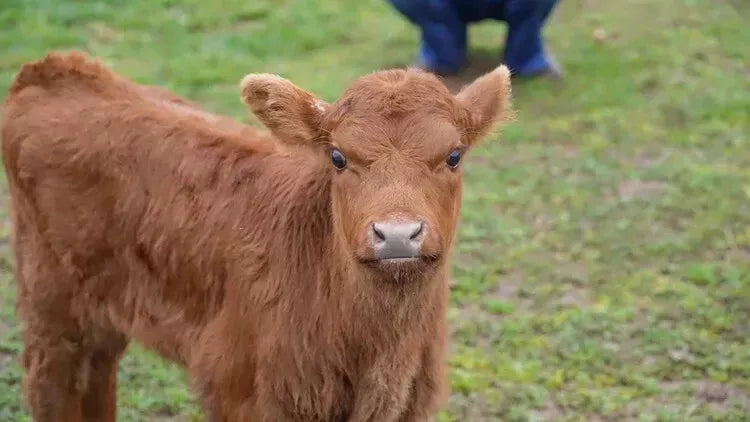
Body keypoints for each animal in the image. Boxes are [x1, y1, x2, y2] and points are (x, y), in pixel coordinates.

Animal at [1, 51, 511, 422]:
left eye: (454, 155)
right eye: (338, 157)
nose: (399, 234)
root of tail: (57, 68)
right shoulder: (244, 393)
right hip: (50, 297)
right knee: (51, 383)